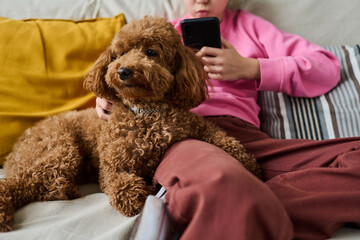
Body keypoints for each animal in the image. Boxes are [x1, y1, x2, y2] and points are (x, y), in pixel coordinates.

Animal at [0, 15, 262, 232]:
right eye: (119, 54)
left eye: (151, 52)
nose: (124, 71)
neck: (148, 113)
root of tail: (19, 144)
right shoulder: (113, 164)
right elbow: (121, 184)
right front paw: (137, 198)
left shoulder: (194, 126)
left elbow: (223, 138)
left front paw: (249, 164)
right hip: (60, 150)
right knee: (18, 182)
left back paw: (66, 188)